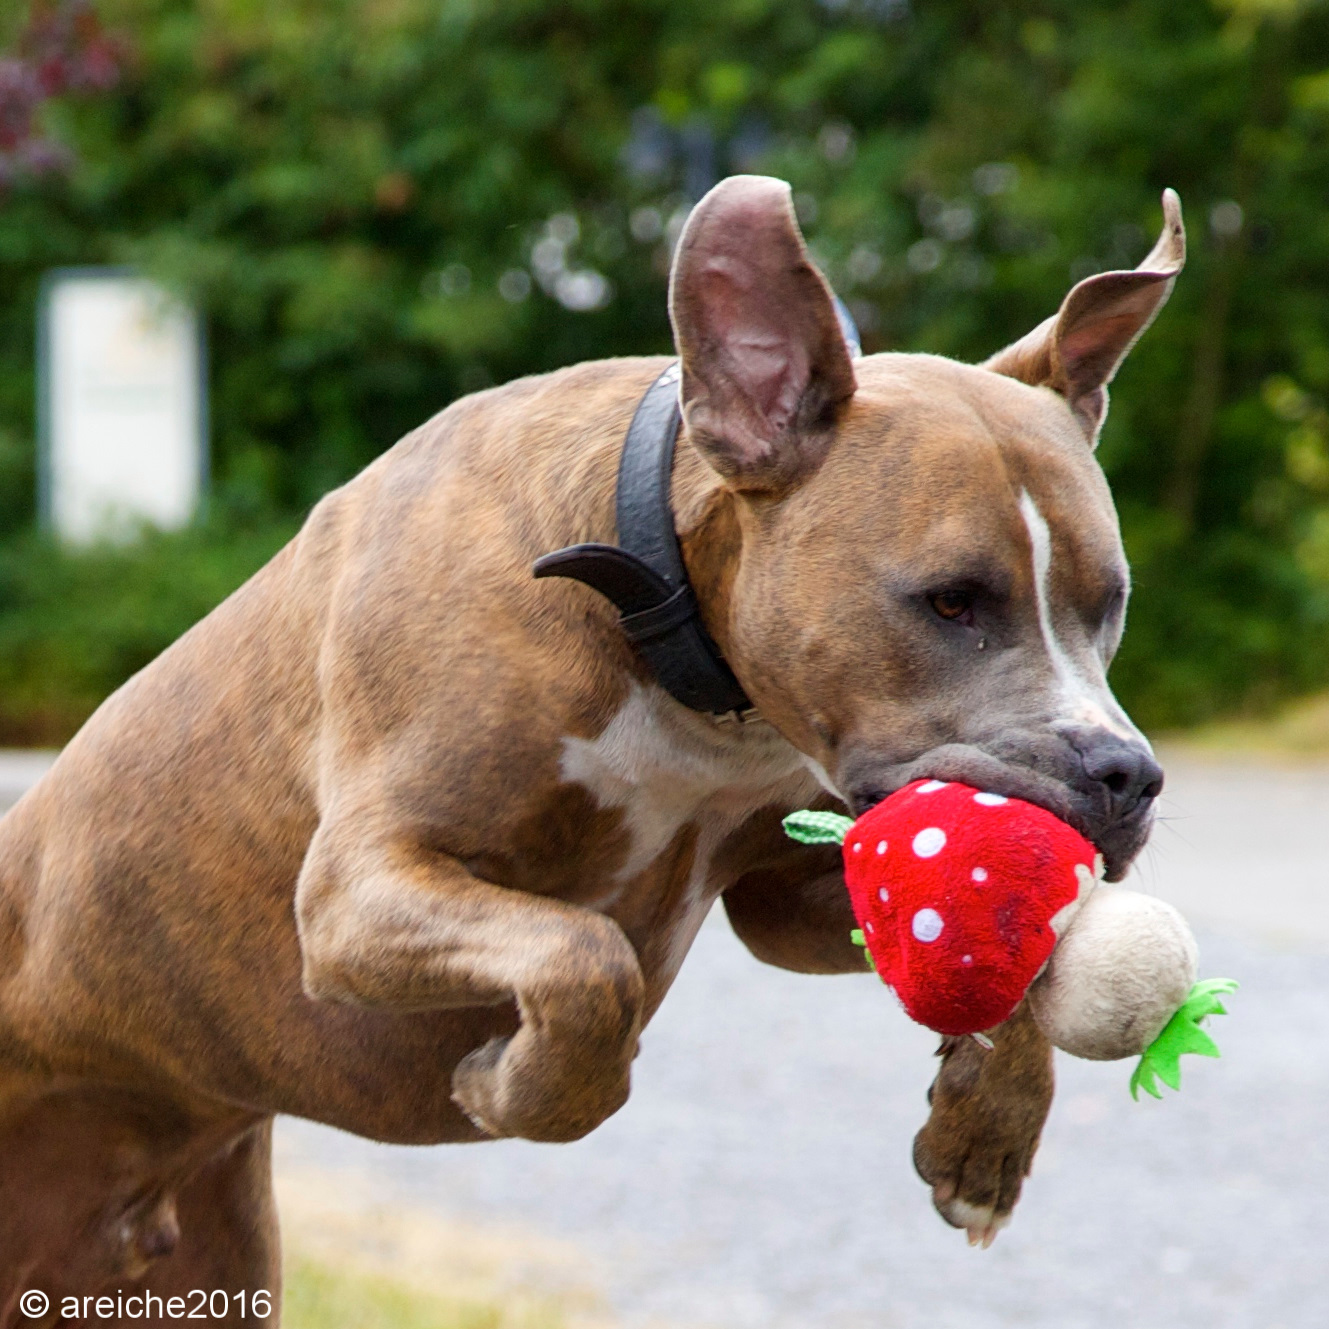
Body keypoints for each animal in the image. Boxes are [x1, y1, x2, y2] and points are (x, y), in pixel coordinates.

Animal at [0, 176, 1185, 1318]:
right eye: (949, 601)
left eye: (1112, 605)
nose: (1125, 775)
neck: (664, 631)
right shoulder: (353, 892)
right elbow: (587, 959)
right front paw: (518, 1090)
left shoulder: (787, 895)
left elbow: (1026, 939)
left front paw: (985, 1132)